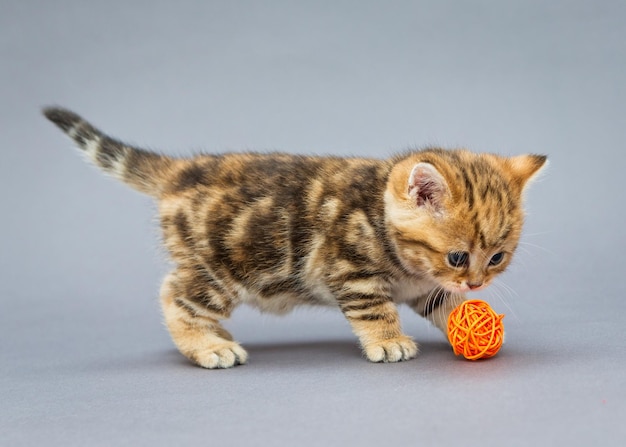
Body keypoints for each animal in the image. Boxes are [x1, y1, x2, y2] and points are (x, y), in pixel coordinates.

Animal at [42, 107, 544, 370]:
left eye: (497, 258)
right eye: (458, 256)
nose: (477, 283)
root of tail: (182, 170)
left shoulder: (425, 287)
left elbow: (446, 305)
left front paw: (470, 321)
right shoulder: (352, 272)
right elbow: (375, 310)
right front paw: (388, 340)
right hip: (220, 268)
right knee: (174, 295)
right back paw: (208, 346)